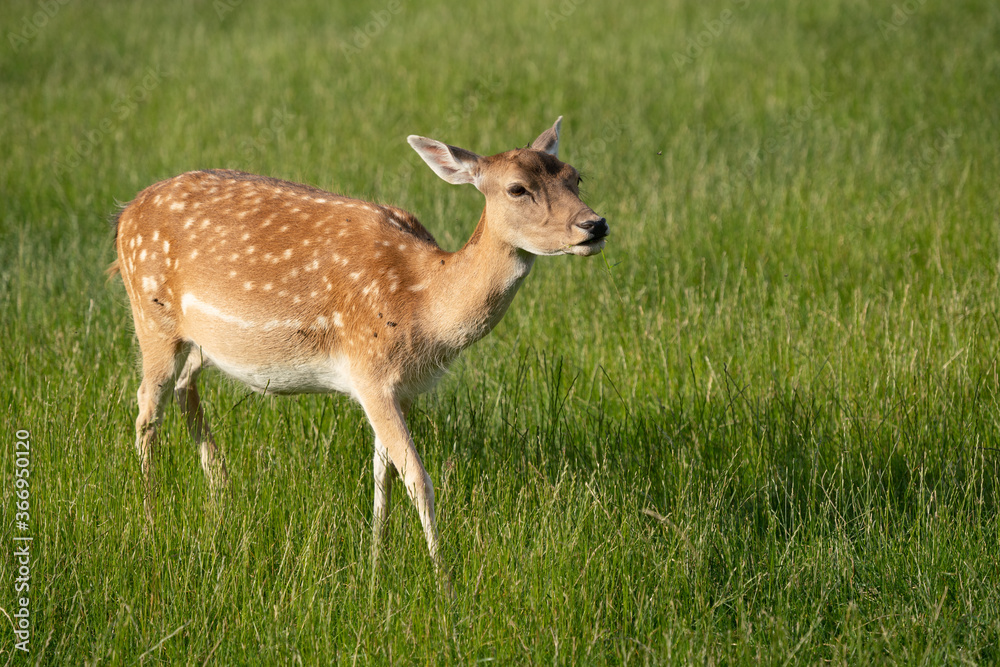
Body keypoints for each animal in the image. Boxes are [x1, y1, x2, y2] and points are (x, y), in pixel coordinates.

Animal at [111, 118, 608, 584]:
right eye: (517, 188)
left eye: (575, 176)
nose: (595, 225)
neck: (424, 305)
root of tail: (124, 215)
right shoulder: (371, 372)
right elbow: (418, 480)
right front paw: (444, 585)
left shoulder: (397, 389)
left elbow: (380, 472)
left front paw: (373, 564)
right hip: (150, 314)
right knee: (146, 408)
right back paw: (151, 519)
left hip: (201, 342)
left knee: (184, 389)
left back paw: (218, 493)